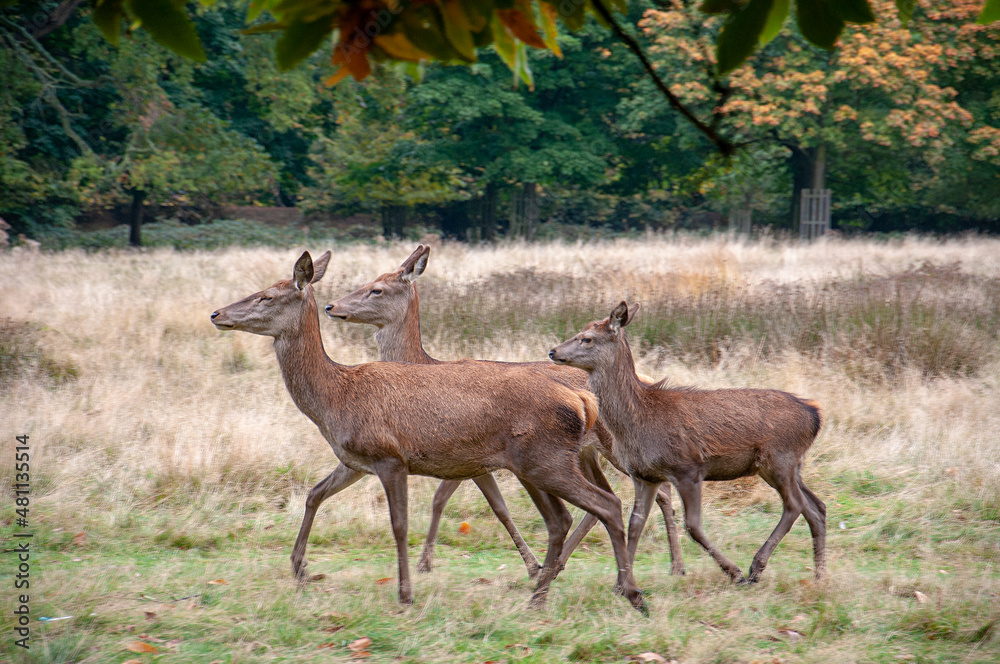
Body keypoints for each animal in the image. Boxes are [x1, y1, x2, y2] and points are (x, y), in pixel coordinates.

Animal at [210, 251, 647, 612]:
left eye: (266, 297)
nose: (216, 314)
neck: (335, 399)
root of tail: (583, 399)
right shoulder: (354, 461)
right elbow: (314, 494)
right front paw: (300, 569)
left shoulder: (389, 456)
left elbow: (400, 525)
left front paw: (405, 594)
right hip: (536, 464)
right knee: (567, 517)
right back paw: (543, 593)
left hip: (550, 459)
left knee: (607, 504)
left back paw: (628, 592)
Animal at [324, 245, 686, 577]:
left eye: (377, 289)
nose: (331, 306)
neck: (424, 363)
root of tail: (646, 380)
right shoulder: (470, 458)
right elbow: (488, 504)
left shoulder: (463, 452)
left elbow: (452, 500)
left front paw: (427, 563)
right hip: (584, 452)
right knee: (611, 497)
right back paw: (570, 561)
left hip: (612, 445)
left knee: (658, 490)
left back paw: (675, 566)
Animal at [549, 302, 827, 585]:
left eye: (586, 338)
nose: (553, 351)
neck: (639, 420)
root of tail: (815, 415)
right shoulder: (644, 476)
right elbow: (635, 524)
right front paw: (621, 584)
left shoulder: (688, 468)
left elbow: (693, 525)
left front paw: (733, 571)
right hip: (792, 465)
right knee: (817, 507)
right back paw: (819, 575)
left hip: (778, 459)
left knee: (795, 505)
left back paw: (756, 567)